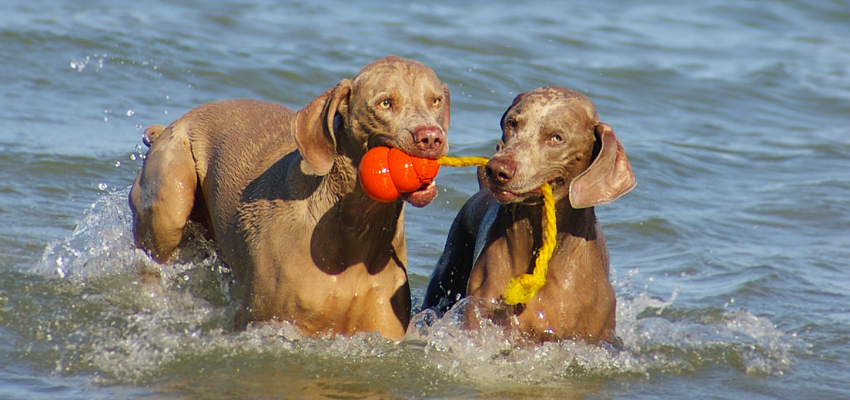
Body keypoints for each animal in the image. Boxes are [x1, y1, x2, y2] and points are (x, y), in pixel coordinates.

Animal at [129, 55, 450, 340]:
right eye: (385, 103)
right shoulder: (263, 319)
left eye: (435, 100)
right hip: (170, 195)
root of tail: (173, 124)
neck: (356, 231)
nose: (431, 137)